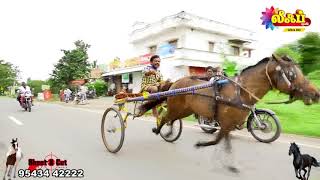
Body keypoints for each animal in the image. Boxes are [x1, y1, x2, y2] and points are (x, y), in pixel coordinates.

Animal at [139, 54, 318, 150]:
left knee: (172, 119)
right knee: (165, 118)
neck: (241, 92)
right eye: (292, 74)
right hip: (176, 107)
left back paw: (169, 133)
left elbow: (222, 139)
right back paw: (160, 130)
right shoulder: (225, 122)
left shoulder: (229, 124)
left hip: (185, 110)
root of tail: (174, 83)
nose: (316, 93)